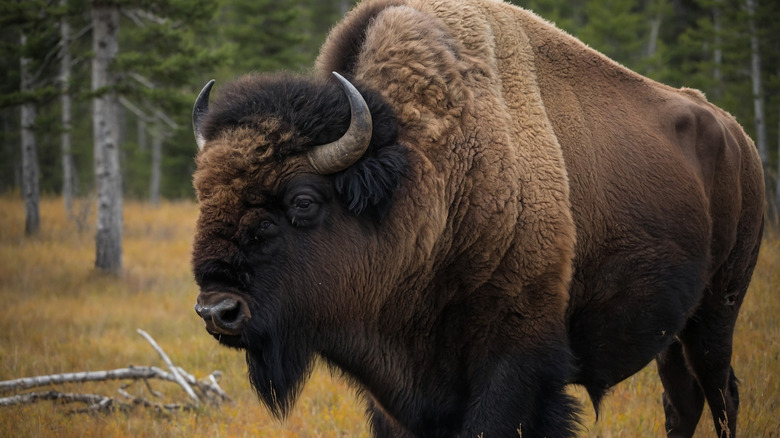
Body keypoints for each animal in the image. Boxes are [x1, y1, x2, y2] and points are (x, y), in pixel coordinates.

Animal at [192, 0, 764, 438]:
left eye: (303, 201)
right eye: (203, 191)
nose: (218, 310)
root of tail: (740, 137)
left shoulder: (514, 363)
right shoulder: (396, 390)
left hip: (718, 311)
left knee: (723, 392)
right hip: (676, 329)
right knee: (682, 402)